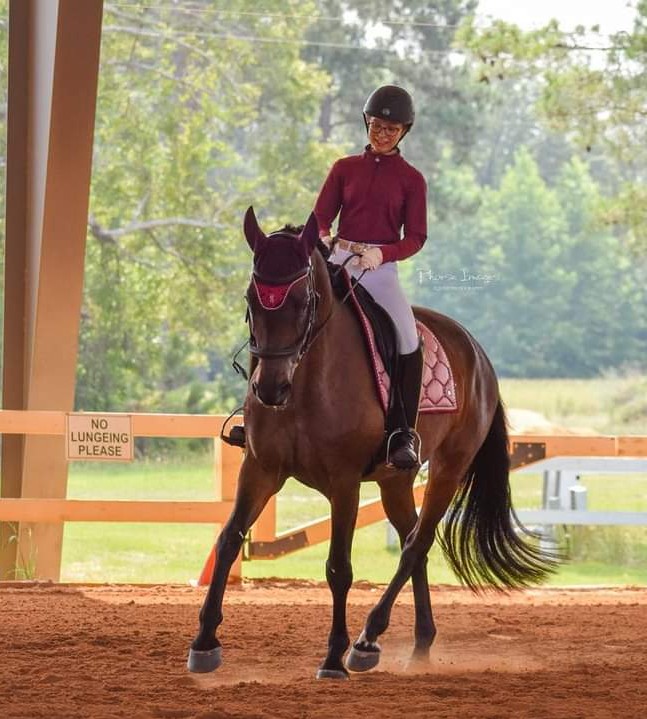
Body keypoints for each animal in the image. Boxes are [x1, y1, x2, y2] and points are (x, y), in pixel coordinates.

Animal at [187, 208, 556, 680]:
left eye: (303, 301)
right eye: (251, 300)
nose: (269, 389)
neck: (306, 383)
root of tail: (476, 352)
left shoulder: (343, 482)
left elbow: (338, 567)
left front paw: (332, 658)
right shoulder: (261, 468)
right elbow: (229, 540)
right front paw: (204, 642)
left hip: (449, 468)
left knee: (416, 543)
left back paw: (366, 641)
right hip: (394, 479)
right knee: (413, 541)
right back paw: (419, 643)